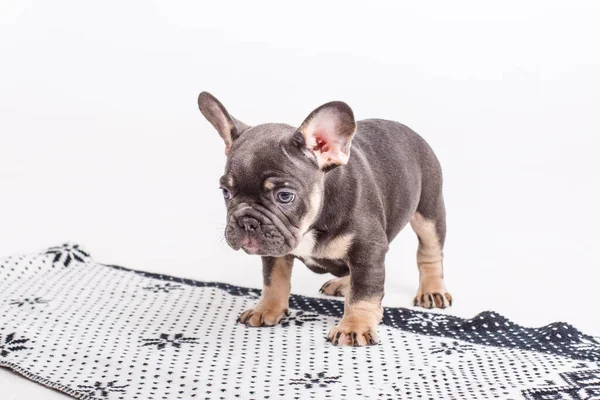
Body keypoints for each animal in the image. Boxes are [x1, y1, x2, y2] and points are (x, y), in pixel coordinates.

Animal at [199, 92, 452, 346]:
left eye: (284, 196)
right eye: (225, 192)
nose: (246, 222)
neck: (313, 221)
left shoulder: (368, 250)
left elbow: (364, 292)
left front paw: (355, 326)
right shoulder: (275, 251)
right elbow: (273, 280)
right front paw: (267, 309)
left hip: (429, 211)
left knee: (429, 252)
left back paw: (432, 291)